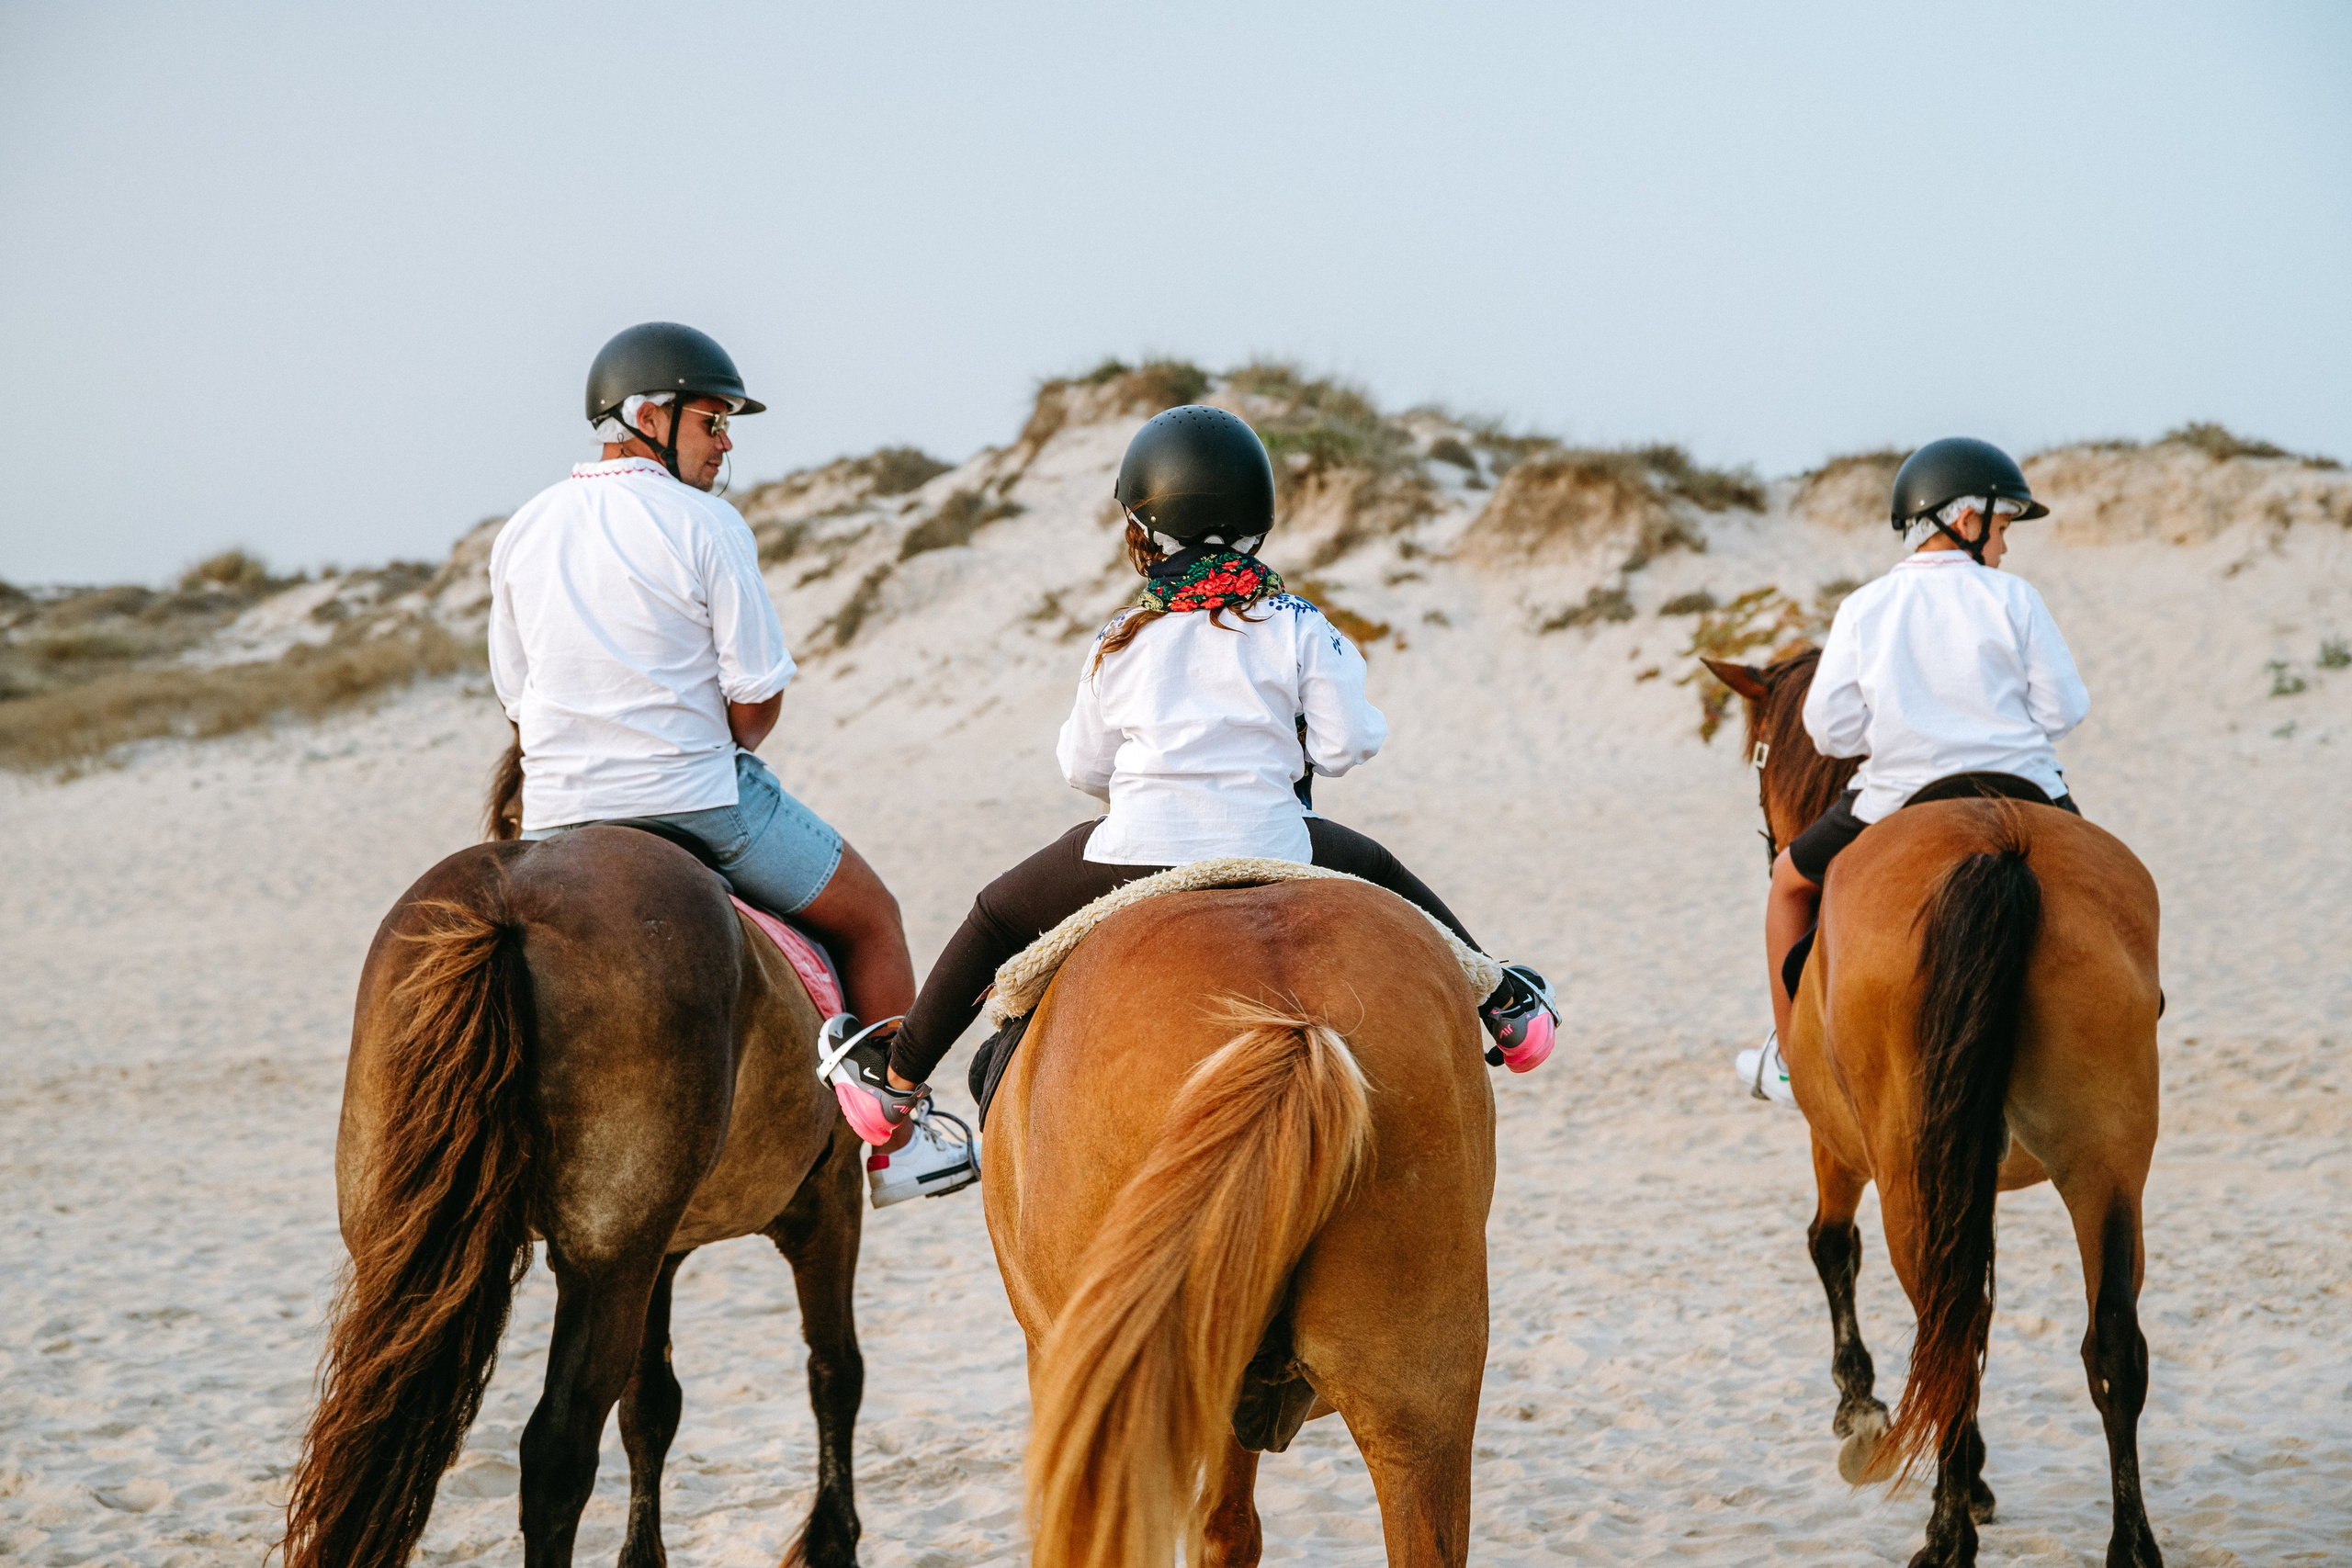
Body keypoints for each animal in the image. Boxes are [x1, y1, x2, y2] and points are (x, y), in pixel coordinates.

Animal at [282, 753, 869, 1568]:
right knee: (556, 1454)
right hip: (606, 1259)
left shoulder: (662, 1249)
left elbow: (650, 1405)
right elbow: (834, 1370)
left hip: (420, 1245)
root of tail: (507, 908)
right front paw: (831, 1540)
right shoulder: (827, 1200)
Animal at [1703, 649, 2164, 1568]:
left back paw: (1948, 1530)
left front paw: (1861, 1408)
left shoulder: (1837, 1141)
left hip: (1909, 1167)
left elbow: (1830, 1246)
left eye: (1761, 758)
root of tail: (1999, 849)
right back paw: (2129, 1544)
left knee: (1946, 1324)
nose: (1768, 842)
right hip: (2108, 1165)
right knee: (2110, 1345)